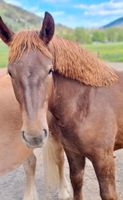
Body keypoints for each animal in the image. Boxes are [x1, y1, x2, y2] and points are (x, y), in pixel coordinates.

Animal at [0, 12, 123, 200]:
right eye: (10, 72)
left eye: (50, 70)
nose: (34, 136)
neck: (86, 105)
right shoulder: (74, 154)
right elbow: (76, 185)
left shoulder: (104, 160)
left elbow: (108, 194)